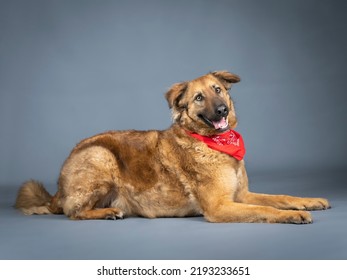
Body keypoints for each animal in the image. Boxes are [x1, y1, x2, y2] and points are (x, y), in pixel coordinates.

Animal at [15, 71, 332, 223]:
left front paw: (310, 201)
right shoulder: (220, 207)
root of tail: (58, 189)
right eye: (198, 98)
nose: (221, 111)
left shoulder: (241, 195)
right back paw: (106, 213)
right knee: (73, 212)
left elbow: (280, 197)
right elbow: (267, 209)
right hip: (100, 155)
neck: (214, 144)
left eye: (218, 90)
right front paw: (294, 215)